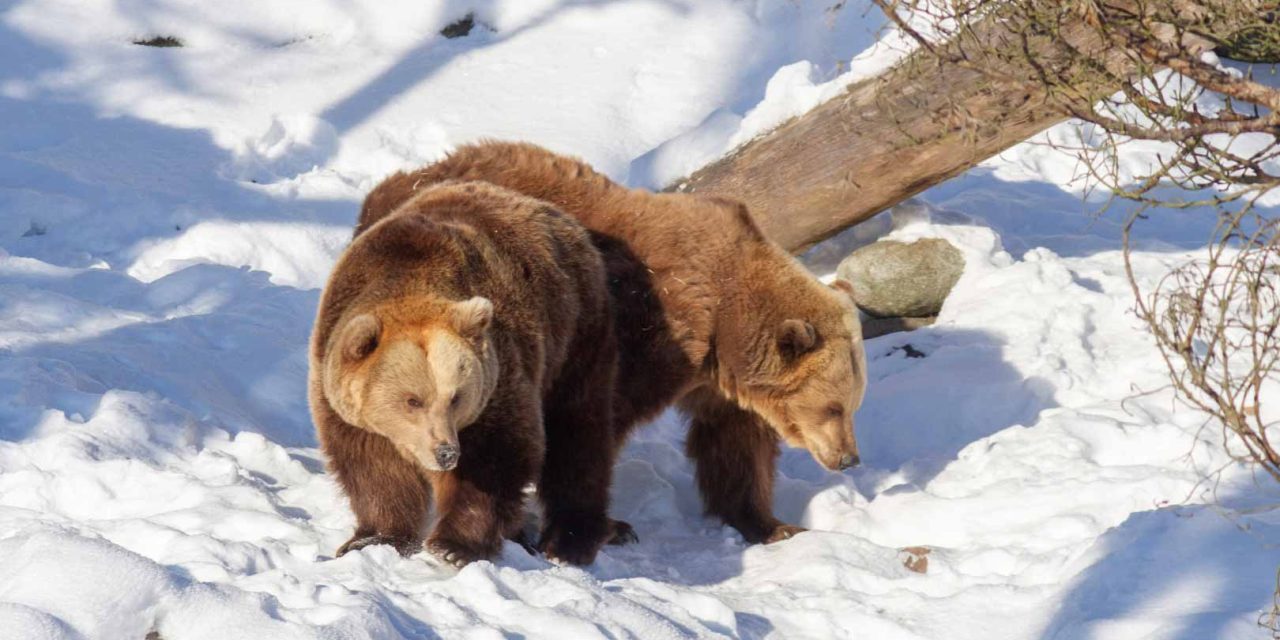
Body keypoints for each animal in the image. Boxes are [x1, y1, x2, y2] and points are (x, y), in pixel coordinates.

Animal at [310, 179, 620, 566]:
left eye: (456, 397)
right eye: (412, 400)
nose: (445, 452)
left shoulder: (498, 379)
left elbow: (495, 457)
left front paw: (453, 546)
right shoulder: (343, 399)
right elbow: (372, 467)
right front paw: (373, 538)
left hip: (575, 337)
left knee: (579, 433)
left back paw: (570, 538)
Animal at [354, 141, 868, 546]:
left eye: (852, 404)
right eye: (833, 407)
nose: (848, 458)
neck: (725, 325)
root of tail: (384, 190)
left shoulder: (718, 382)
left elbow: (736, 447)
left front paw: (771, 524)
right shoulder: (652, 328)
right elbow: (602, 420)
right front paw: (607, 526)